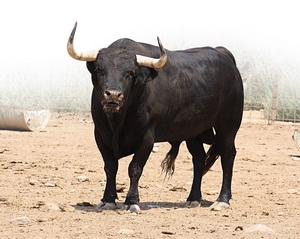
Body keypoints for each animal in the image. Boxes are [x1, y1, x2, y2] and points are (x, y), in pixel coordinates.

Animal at [67, 23, 244, 212]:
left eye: (131, 72)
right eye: (100, 70)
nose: (113, 95)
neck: (117, 123)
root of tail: (223, 54)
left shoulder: (147, 137)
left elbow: (135, 168)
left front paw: (131, 202)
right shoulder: (100, 135)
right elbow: (110, 167)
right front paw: (108, 199)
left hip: (228, 125)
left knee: (228, 155)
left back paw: (222, 199)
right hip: (193, 131)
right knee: (199, 159)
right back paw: (193, 198)